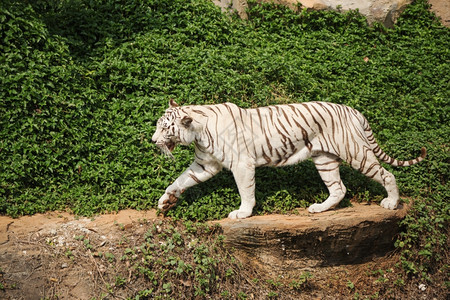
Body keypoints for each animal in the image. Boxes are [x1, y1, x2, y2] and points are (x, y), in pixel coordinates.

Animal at [152, 99, 426, 219]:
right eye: (158, 125)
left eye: (165, 128)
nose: (153, 141)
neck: (198, 132)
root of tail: (353, 109)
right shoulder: (205, 164)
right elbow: (181, 180)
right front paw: (166, 201)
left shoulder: (242, 164)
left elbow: (246, 191)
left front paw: (243, 213)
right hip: (324, 159)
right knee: (339, 188)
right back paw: (320, 208)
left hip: (356, 152)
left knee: (387, 174)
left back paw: (392, 203)